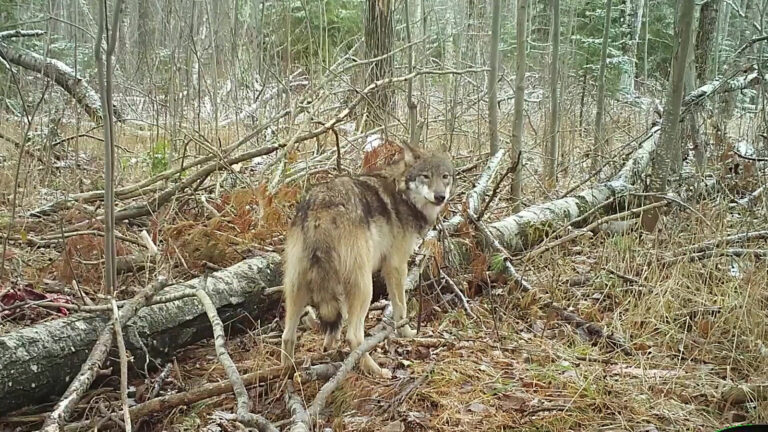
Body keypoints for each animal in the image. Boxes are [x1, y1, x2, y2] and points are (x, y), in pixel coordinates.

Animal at [280, 143, 452, 378]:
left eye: (445, 176)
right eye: (426, 176)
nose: (440, 196)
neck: (402, 193)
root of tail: (320, 208)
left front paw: (329, 344)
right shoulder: (396, 266)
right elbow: (401, 308)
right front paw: (407, 334)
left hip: (297, 286)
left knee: (287, 335)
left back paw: (287, 372)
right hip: (364, 287)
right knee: (354, 336)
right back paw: (377, 370)